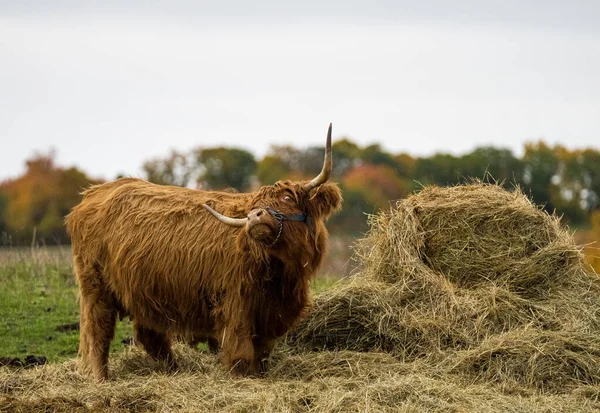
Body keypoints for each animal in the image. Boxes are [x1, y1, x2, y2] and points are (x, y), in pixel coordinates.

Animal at [65, 124, 342, 378]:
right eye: (254, 205)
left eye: (287, 198)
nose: (254, 216)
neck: (281, 272)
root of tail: (93, 193)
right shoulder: (235, 303)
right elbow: (241, 352)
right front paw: (241, 377)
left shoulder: (272, 313)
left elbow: (262, 351)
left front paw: (261, 374)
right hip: (96, 287)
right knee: (98, 332)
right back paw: (102, 379)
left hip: (142, 289)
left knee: (150, 336)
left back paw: (174, 370)